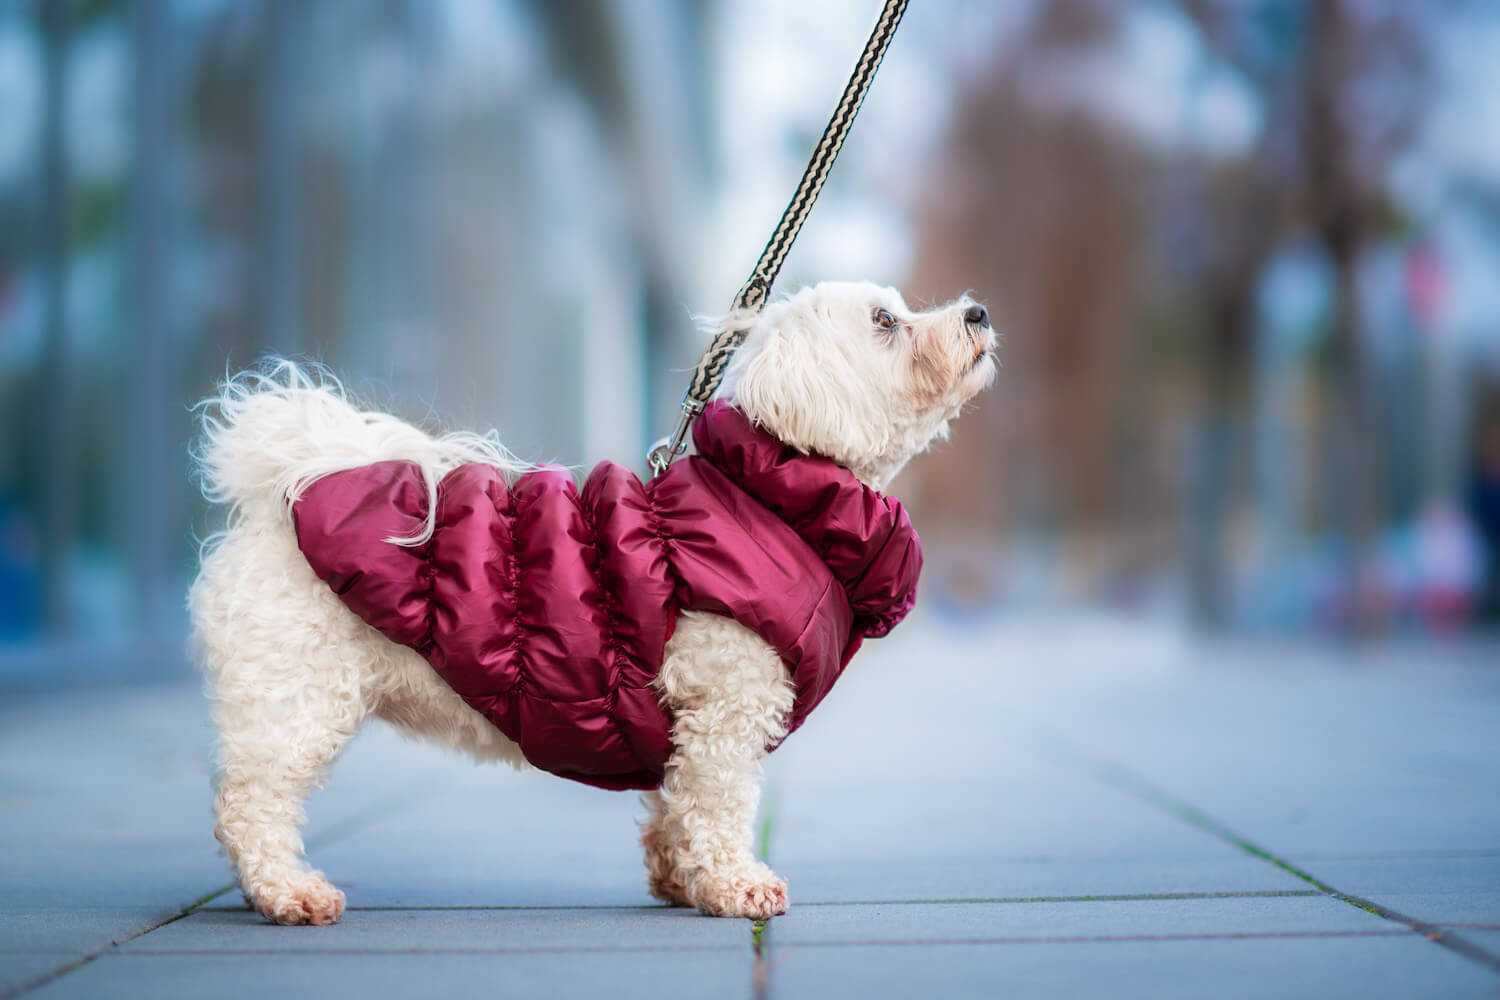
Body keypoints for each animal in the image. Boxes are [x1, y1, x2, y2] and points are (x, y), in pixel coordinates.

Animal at [184, 280, 996, 923]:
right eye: (885, 321)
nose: (978, 313)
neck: (770, 496)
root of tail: (285, 495)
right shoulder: (727, 706)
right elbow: (720, 803)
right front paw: (737, 887)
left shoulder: (685, 721)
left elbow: (677, 804)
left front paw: (679, 880)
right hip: (297, 694)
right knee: (250, 803)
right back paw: (289, 894)